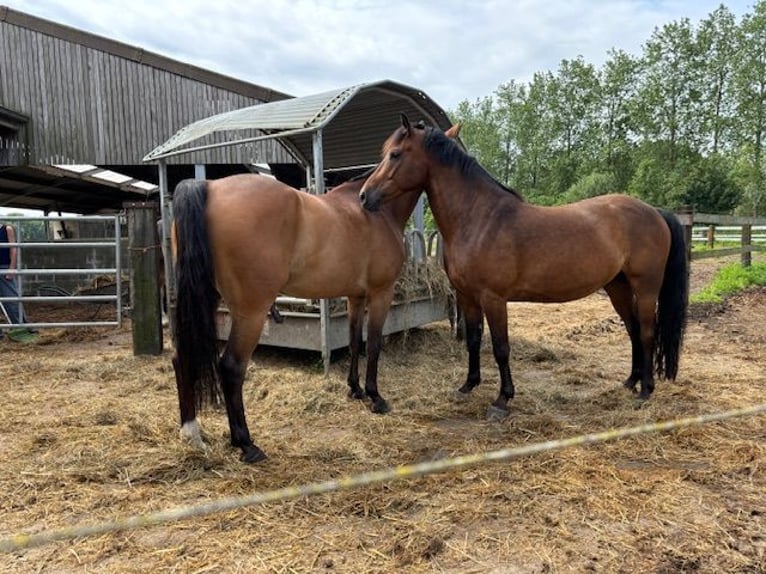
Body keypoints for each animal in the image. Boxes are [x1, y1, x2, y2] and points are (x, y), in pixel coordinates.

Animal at [172, 129, 460, 464]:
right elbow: (374, 344)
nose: (367, 197)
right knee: (231, 367)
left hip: (203, 301)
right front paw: (376, 397)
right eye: (392, 153)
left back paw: (192, 434)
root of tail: (209, 186)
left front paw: (355, 390)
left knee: (182, 358)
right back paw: (246, 444)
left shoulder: (355, 297)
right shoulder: (381, 293)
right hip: (250, 312)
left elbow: (354, 342)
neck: (379, 214)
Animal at [360, 117, 688, 420]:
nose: (364, 196)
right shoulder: (467, 296)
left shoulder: (494, 298)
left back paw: (645, 391)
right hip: (617, 286)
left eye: (395, 154)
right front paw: (468, 386)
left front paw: (502, 400)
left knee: (647, 332)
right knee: (633, 329)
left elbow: (501, 348)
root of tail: (655, 211)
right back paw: (630, 382)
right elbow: (474, 340)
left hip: (645, 287)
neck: (479, 219)